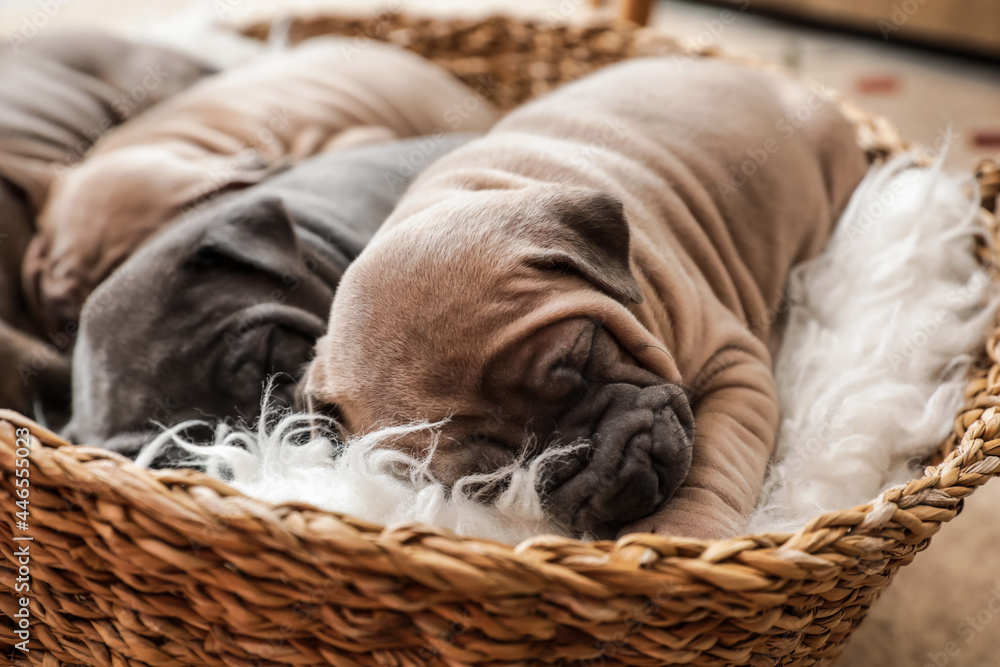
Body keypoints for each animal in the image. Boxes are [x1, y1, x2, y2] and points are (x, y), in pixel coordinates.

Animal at [302, 58, 868, 544]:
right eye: (485, 483)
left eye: (577, 358)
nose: (585, 463)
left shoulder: (734, 366)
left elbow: (716, 458)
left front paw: (684, 533)